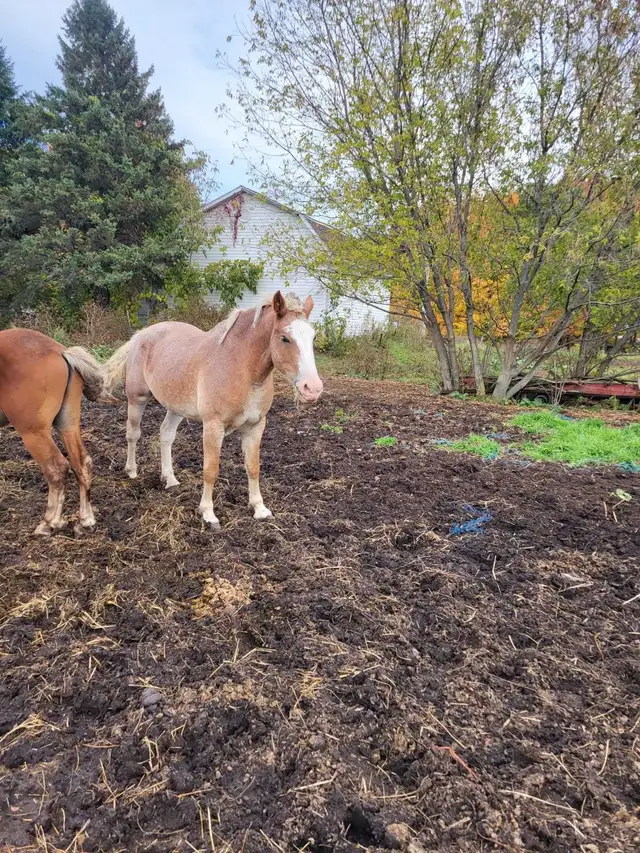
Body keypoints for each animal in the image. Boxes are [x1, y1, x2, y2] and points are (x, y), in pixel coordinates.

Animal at [0, 329, 105, 536]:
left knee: (56, 468)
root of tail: (59, 351)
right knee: (82, 463)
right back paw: (85, 520)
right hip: (67, 424)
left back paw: (50, 522)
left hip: (34, 433)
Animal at [103, 291, 323, 529]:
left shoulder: (256, 427)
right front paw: (208, 513)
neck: (242, 368)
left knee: (166, 435)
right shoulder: (213, 427)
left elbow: (253, 467)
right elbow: (210, 470)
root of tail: (141, 334)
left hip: (176, 407)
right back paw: (132, 471)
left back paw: (170, 479)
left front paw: (259, 508)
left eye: (313, 338)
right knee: (133, 434)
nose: (313, 388)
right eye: (285, 338)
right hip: (137, 399)